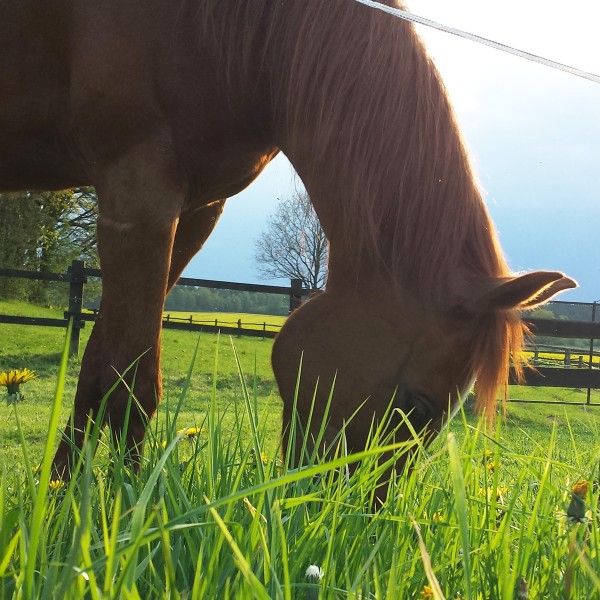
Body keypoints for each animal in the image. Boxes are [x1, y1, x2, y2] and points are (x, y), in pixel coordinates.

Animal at [0, 1, 576, 478]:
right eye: (418, 406)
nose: (353, 517)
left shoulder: (194, 210)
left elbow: (97, 369)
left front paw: (61, 499)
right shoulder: (137, 196)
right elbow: (129, 384)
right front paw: (110, 519)